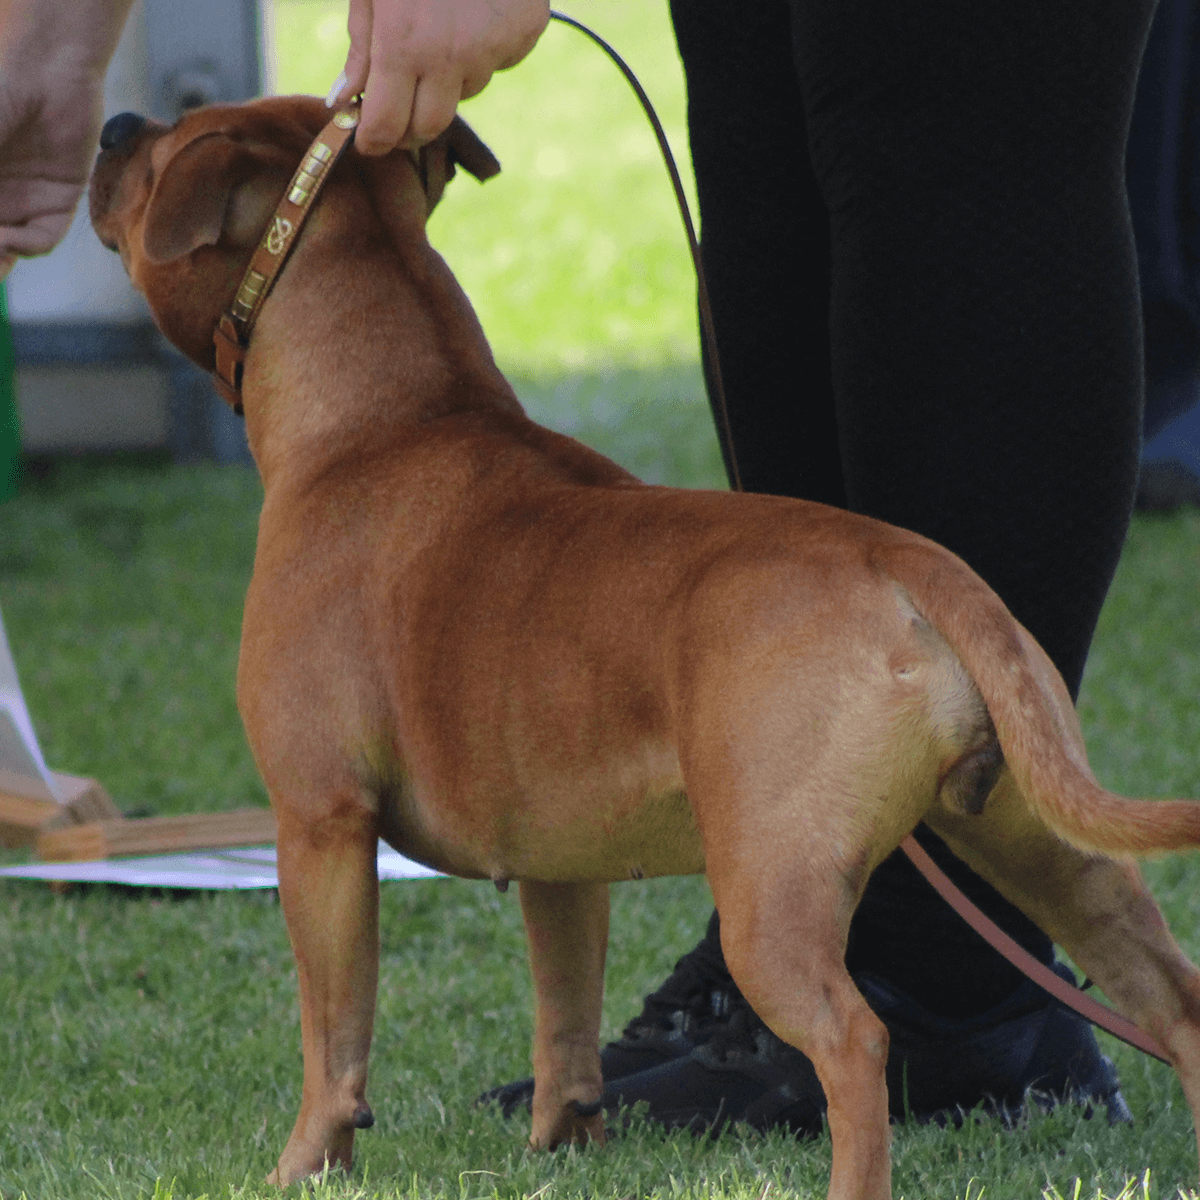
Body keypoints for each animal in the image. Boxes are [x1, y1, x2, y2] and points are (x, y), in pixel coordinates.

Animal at [91, 93, 1200, 1200]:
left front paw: (304, 1164)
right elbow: (565, 1023)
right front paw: (560, 1148)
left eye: (164, 145)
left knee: (854, 1045)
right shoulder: (560, 866)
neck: (393, 419)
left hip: (772, 896)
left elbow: (334, 1037)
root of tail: (906, 562)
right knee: (1175, 1001)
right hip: (1060, 859)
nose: (114, 124)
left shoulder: (319, 826)